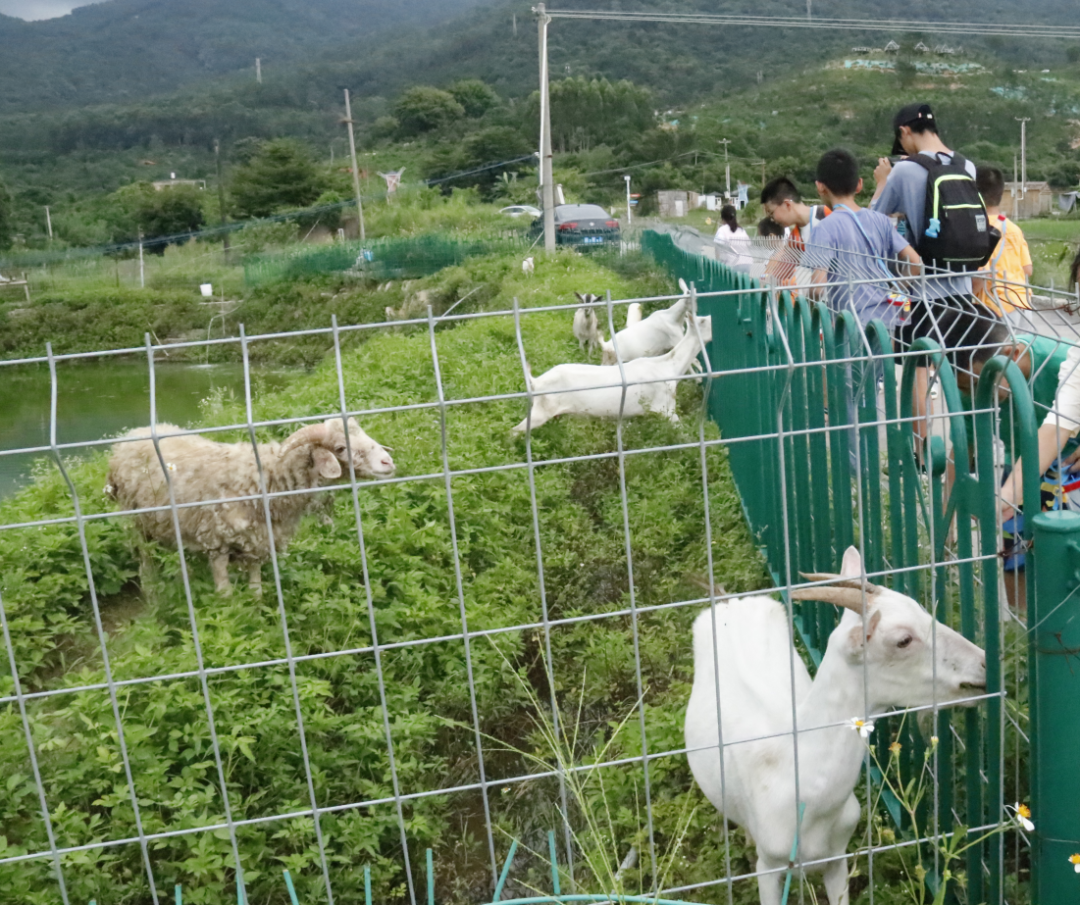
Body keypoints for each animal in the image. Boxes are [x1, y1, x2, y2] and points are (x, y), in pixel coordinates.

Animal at [511, 317, 712, 434]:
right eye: (703, 321)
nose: (711, 317)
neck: (668, 367)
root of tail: (536, 381)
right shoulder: (666, 409)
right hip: (540, 411)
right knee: (515, 430)